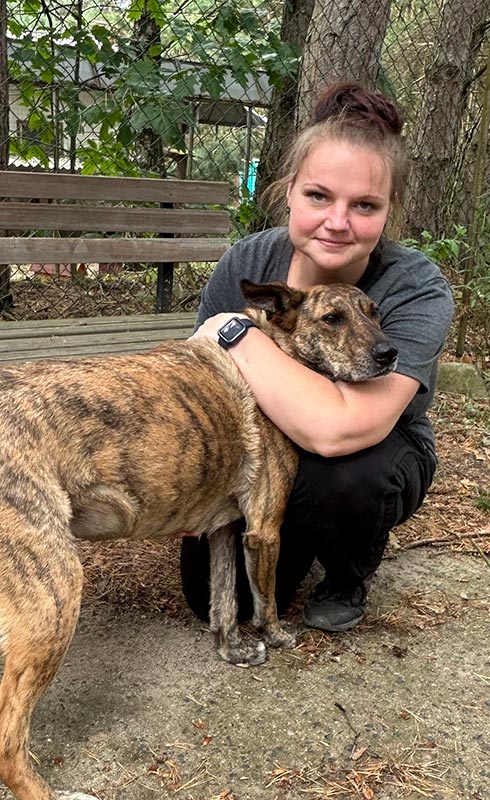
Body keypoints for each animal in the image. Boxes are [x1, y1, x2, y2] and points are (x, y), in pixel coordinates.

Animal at [0, 279, 398, 800]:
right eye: (333, 319)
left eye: (375, 312)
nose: (389, 353)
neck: (278, 350)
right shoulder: (263, 528)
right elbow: (265, 600)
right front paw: (276, 637)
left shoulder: (223, 530)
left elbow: (225, 601)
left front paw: (233, 650)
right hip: (53, 599)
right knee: (8, 745)